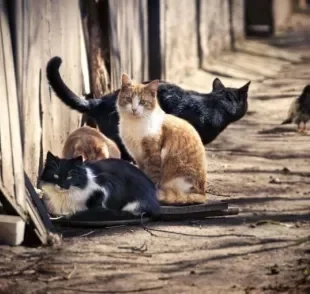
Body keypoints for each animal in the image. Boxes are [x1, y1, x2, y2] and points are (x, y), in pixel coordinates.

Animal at [116, 73, 208, 206]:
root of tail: (202, 193)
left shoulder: (152, 155)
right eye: (129, 99)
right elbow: (143, 173)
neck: (134, 124)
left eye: (142, 102)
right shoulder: (138, 157)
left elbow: (152, 175)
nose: (134, 109)